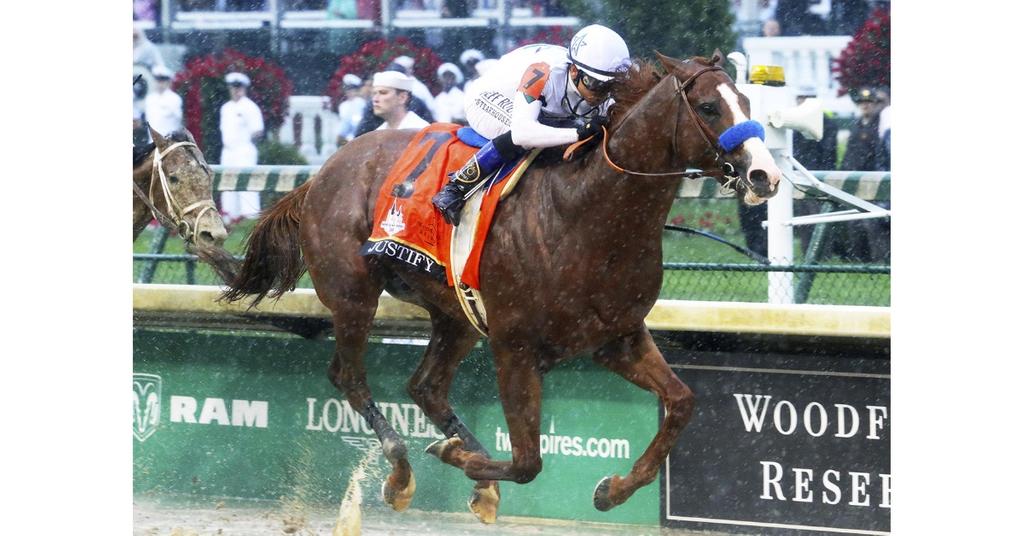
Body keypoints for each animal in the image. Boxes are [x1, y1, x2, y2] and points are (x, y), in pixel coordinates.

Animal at [222, 51, 782, 522]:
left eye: (748, 102)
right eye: (708, 106)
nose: (765, 175)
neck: (587, 214)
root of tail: (322, 173)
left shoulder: (617, 337)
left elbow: (682, 403)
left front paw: (613, 489)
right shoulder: (515, 345)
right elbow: (528, 461)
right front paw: (462, 460)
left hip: (457, 315)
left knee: (425, 386)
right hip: (353, 295)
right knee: (351, 378)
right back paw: (402, 471)